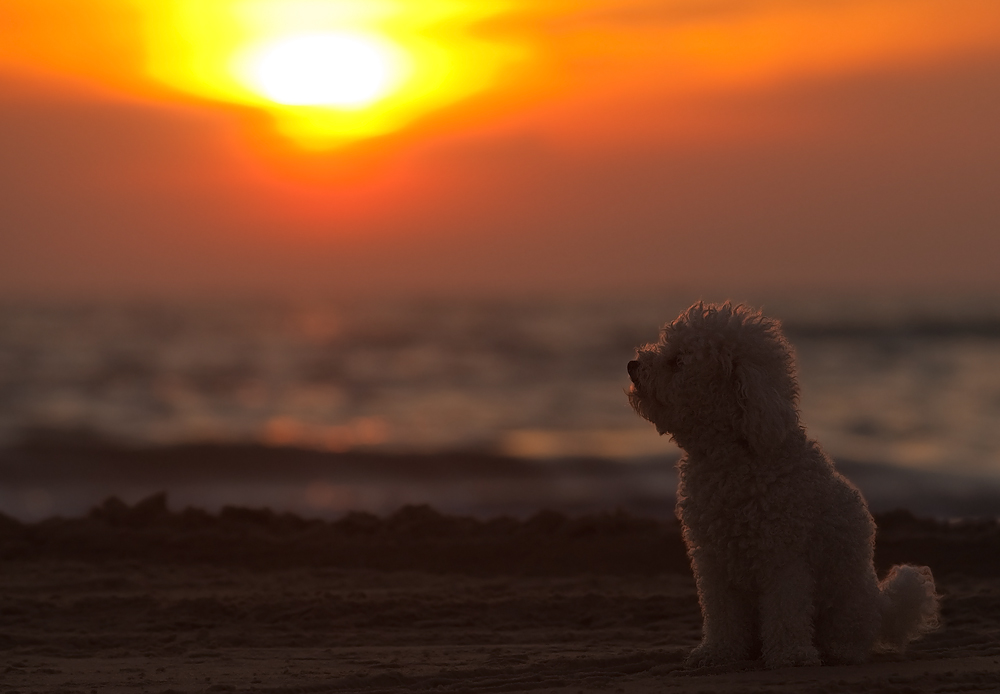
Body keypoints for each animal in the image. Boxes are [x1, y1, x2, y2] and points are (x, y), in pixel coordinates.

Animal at [628, 304, 940, 668]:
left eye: (677, 361)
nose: (632, 366)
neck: (731, 459)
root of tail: (881, 605)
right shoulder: (712, 560)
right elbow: (721, 613)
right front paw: (718, 651)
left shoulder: (784, 556)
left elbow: (785, 608)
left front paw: (790, 654)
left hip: (847, 600)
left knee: (850, 632)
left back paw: (840, 650)